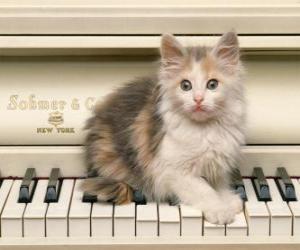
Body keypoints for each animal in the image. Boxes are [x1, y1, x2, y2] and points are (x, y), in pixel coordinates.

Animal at [82, 31, 246, 225]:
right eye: (185, 86)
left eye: (212, 84)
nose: (198, 99)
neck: (205, 129)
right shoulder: (173, 170)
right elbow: (204, 189)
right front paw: (220, 210)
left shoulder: (217, 162)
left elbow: (219, 184)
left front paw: (229, 200)